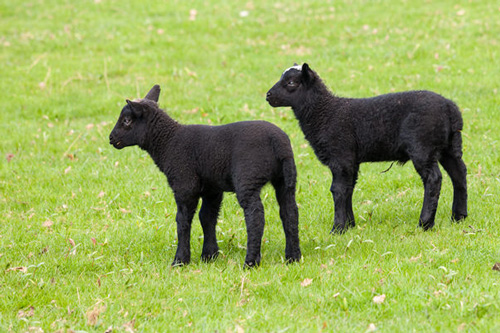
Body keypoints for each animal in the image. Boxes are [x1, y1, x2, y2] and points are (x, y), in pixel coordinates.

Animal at [109, 84, 300, 266]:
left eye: (126, 120)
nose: (111, 138)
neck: (168, 142)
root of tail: (277, 142)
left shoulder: (185, 185)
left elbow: (183, 221)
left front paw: (180, 260)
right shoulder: (212, 189)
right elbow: (207, 217)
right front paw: (209, 255)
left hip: (248, 178)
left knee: (255, 216)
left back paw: (250, 262)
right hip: (285, 180)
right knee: (290, 212)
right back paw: (293, 257)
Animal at [268, 63, 466, 232]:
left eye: (291, 82)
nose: (268, 96)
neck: (325, 113)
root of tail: (450, 108)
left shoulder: (340, 155)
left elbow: (338, 189)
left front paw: (337, 228)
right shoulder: (350, 160)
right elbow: (348, 188)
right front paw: (350, 225)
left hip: (422, 147)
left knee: (433, 179)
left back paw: (425, 223)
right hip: (449, 147)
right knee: (459, 174)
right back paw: (459, 217)